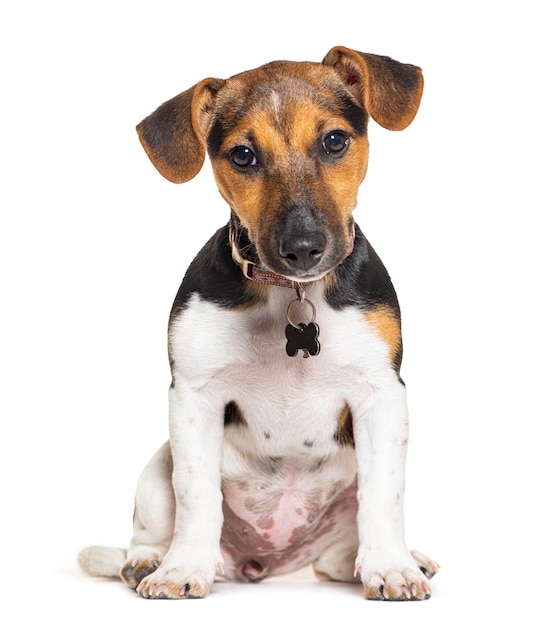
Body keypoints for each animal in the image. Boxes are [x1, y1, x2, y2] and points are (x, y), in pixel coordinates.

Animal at [78, 45, 440, 600]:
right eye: (243, 155)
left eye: (335, 141)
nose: (303, 247)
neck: (291, 294)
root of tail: (264, 564)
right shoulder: (193, 395)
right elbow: (197, 495)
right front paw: (182, 569)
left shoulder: (381, 393)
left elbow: (383, 497)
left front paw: (392, 568)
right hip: (157, 467)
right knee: (149, 528)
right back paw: (148, 561)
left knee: (338, 556)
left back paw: (397, 559)